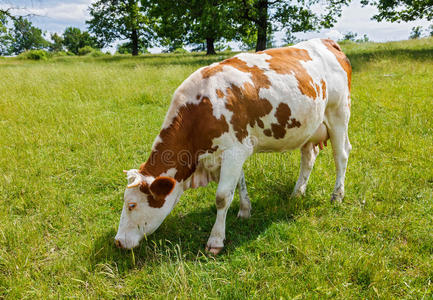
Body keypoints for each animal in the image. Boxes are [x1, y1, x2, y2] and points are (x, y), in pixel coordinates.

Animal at [114, 37, 352, 253]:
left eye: (131, 205)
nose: (117, 241)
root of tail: (326, 41)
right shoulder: (233, 151)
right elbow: (239, 183)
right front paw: (245, 211)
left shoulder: (235, 151)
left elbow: (222, 197)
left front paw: (216, 240)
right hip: (309, 127)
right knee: (308, 158)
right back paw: (297, 193)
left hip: (339, 114)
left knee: (341, 155)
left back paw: (337, 196)